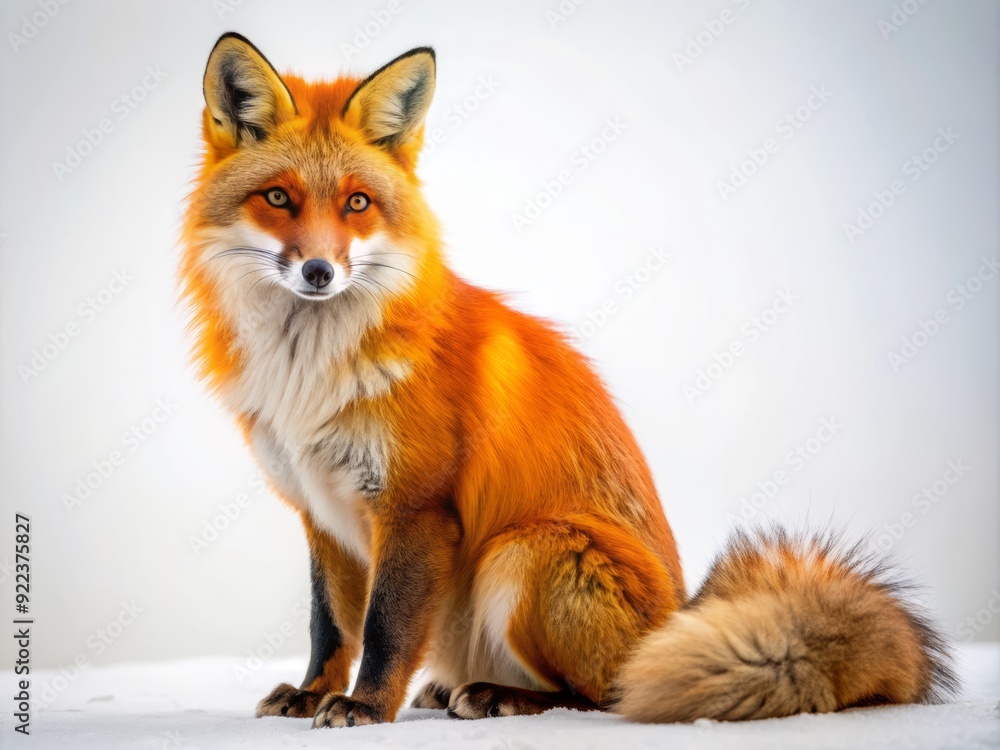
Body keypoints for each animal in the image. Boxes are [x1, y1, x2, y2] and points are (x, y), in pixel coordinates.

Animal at [180, 33, 956, 728]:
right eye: (279, 198)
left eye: (358, 204)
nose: (319, 272)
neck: (310, 370)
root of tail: (682, 614)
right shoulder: (323, 511)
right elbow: (331, 626)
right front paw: (314, 694)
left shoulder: (415, 506)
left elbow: (385, 629)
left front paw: (366, 707)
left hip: (527, 550)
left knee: (609, 694)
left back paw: (501, 696)